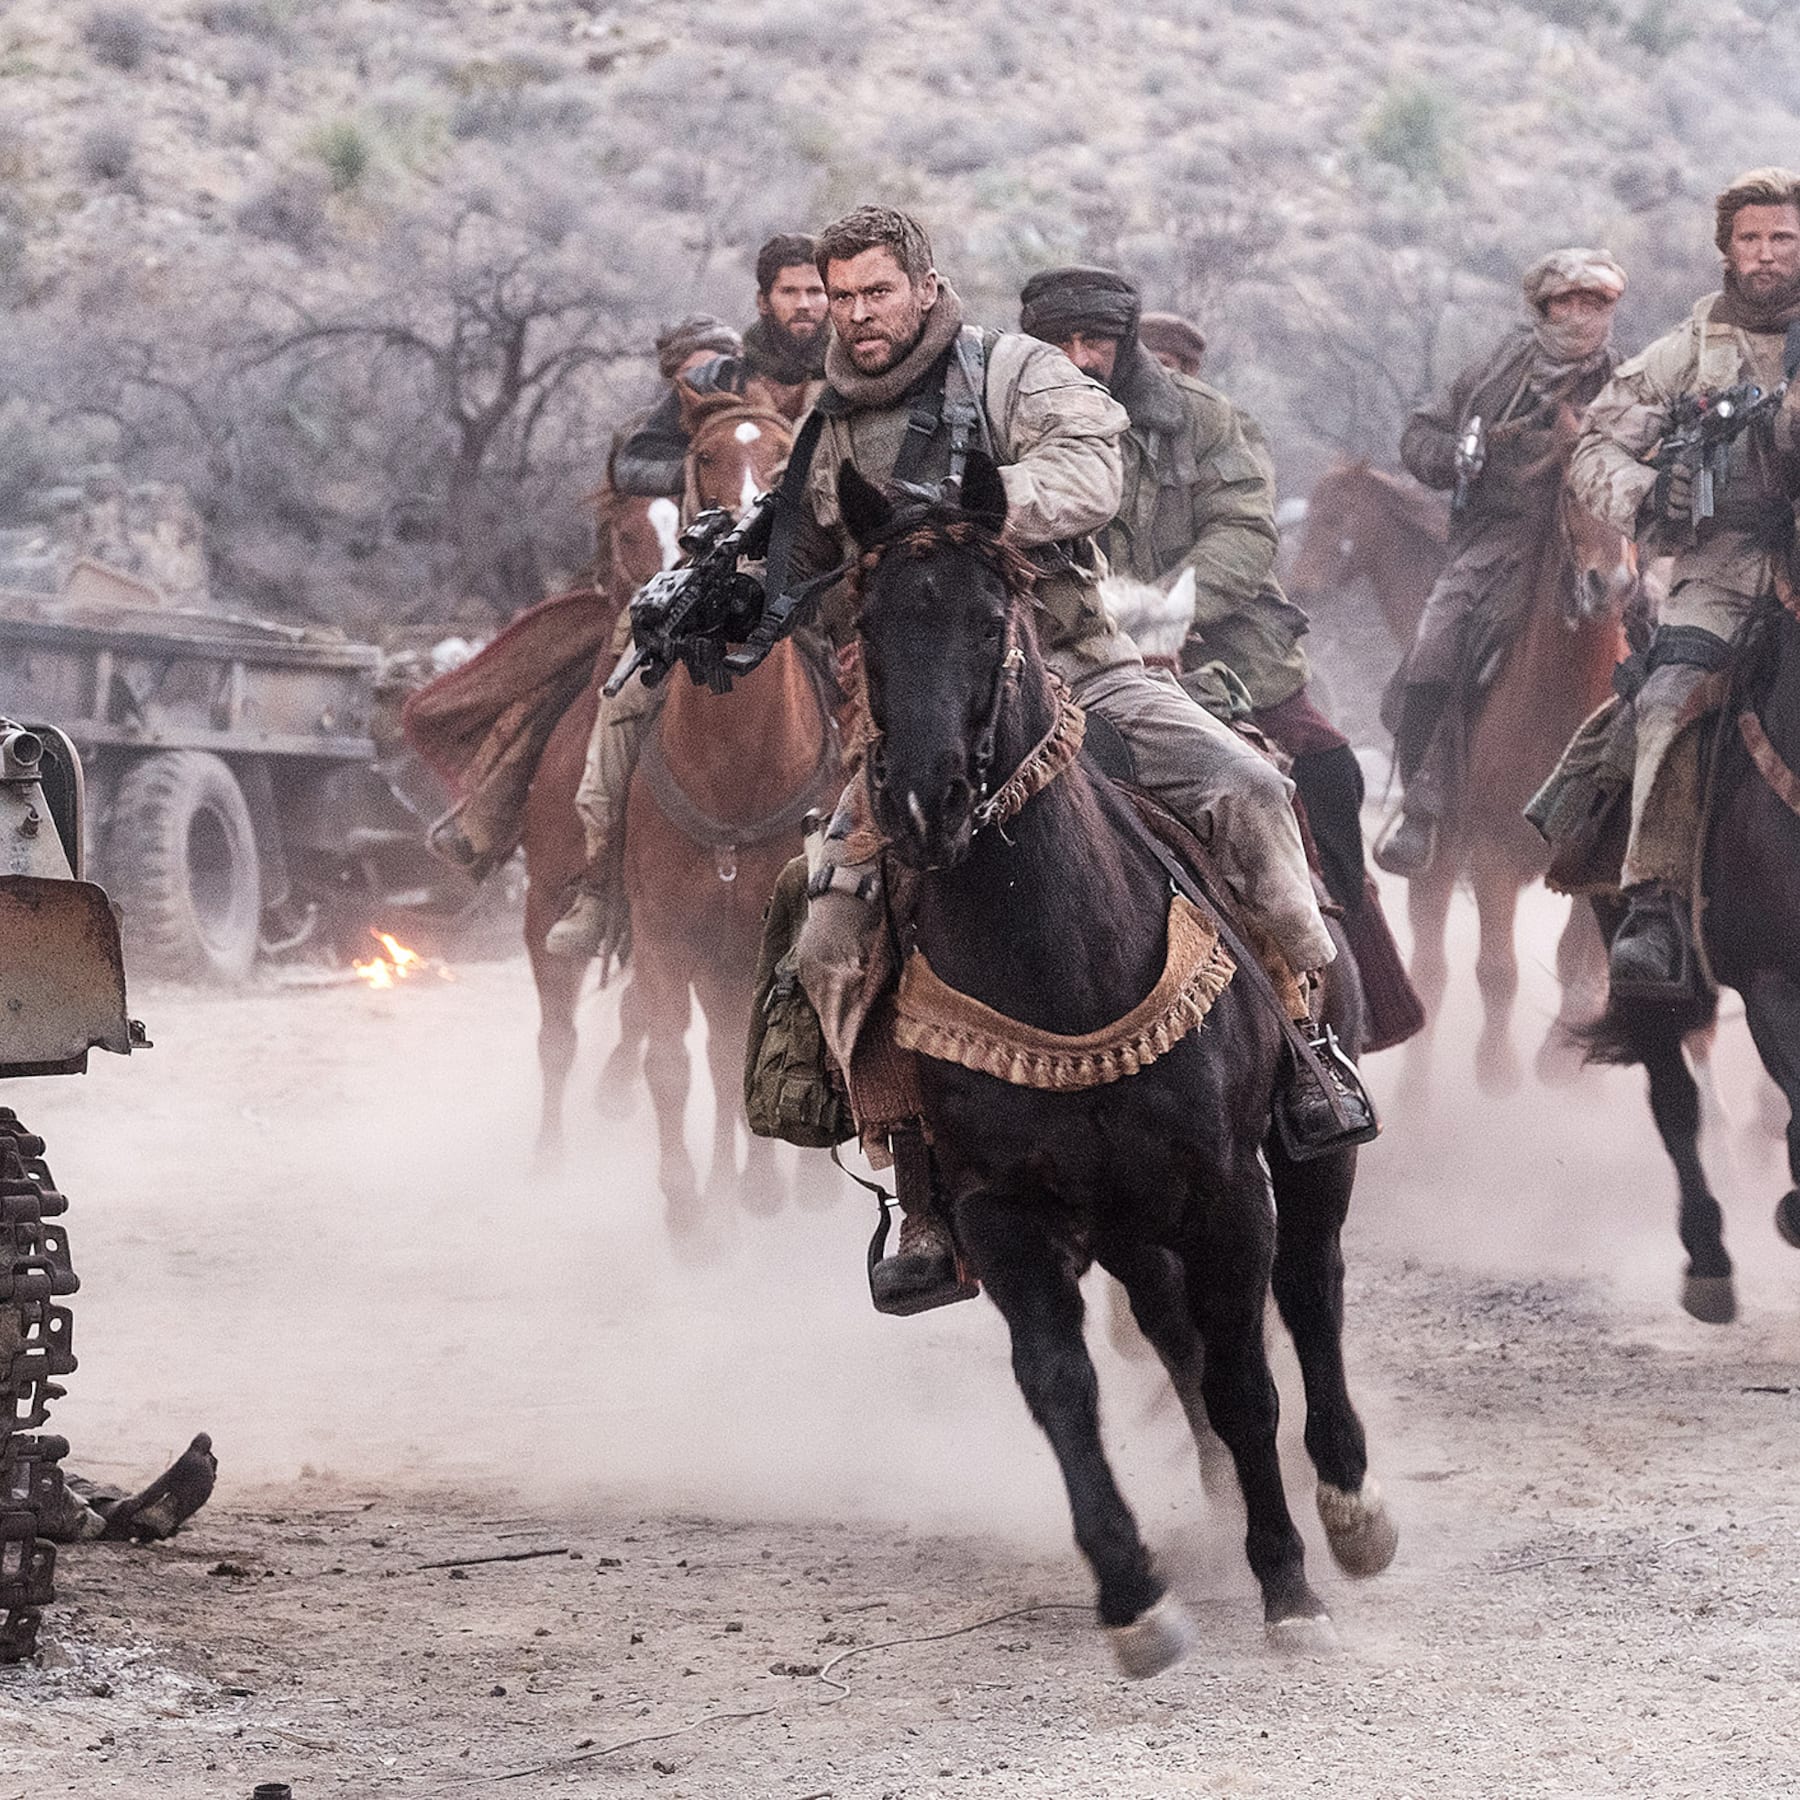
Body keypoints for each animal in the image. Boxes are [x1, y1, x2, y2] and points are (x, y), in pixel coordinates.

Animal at [523, 394, 838, 1221]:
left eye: (788, 452)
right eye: (703, 456)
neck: (737, 771)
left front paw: (773, 1186)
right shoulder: (668, 934)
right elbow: (667, 1061)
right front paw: (689, 1212)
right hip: (551, 913)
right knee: (560, 1034)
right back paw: (551, 1162)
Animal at [838, 453, 1396, 1676]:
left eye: (989, 616)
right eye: (866, 624)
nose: (926, 800)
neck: (1060, 959)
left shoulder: (1227, 1191)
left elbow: (1247, 1375)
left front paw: (1290, 1584)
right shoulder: (1006, 1213)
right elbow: (1063, 1388)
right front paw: (1135, 1597)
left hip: (1307, 1157)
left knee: (1311, 1290)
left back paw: (1349, 1507)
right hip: (1127, 1220)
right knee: (1171, 1333)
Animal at [1396, 431, 1635, 1093]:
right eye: (1573, 490)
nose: (1611, 584)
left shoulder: (1597, 869)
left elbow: (1579, 965)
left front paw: (1563, 1060)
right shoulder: (1493, 853)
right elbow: (1497, 969)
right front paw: (1497, 1069)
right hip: (1435, 860)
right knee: (1429, 968)